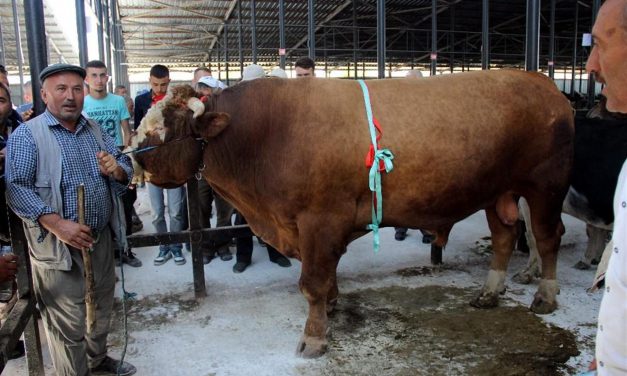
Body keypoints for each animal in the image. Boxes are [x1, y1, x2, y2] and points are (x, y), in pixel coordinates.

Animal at [131, 70, 576, 358]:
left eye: (166, 127)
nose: (131, 157)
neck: (267, 133)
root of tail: (544, 82)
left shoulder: (320, 220)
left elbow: (311, 282)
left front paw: (314, 338)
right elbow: (326, 277)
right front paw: (330, 307)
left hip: (545, 187)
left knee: (547, 236)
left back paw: (545, 295)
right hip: (497, 193)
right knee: (504, 235)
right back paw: (489, 292)